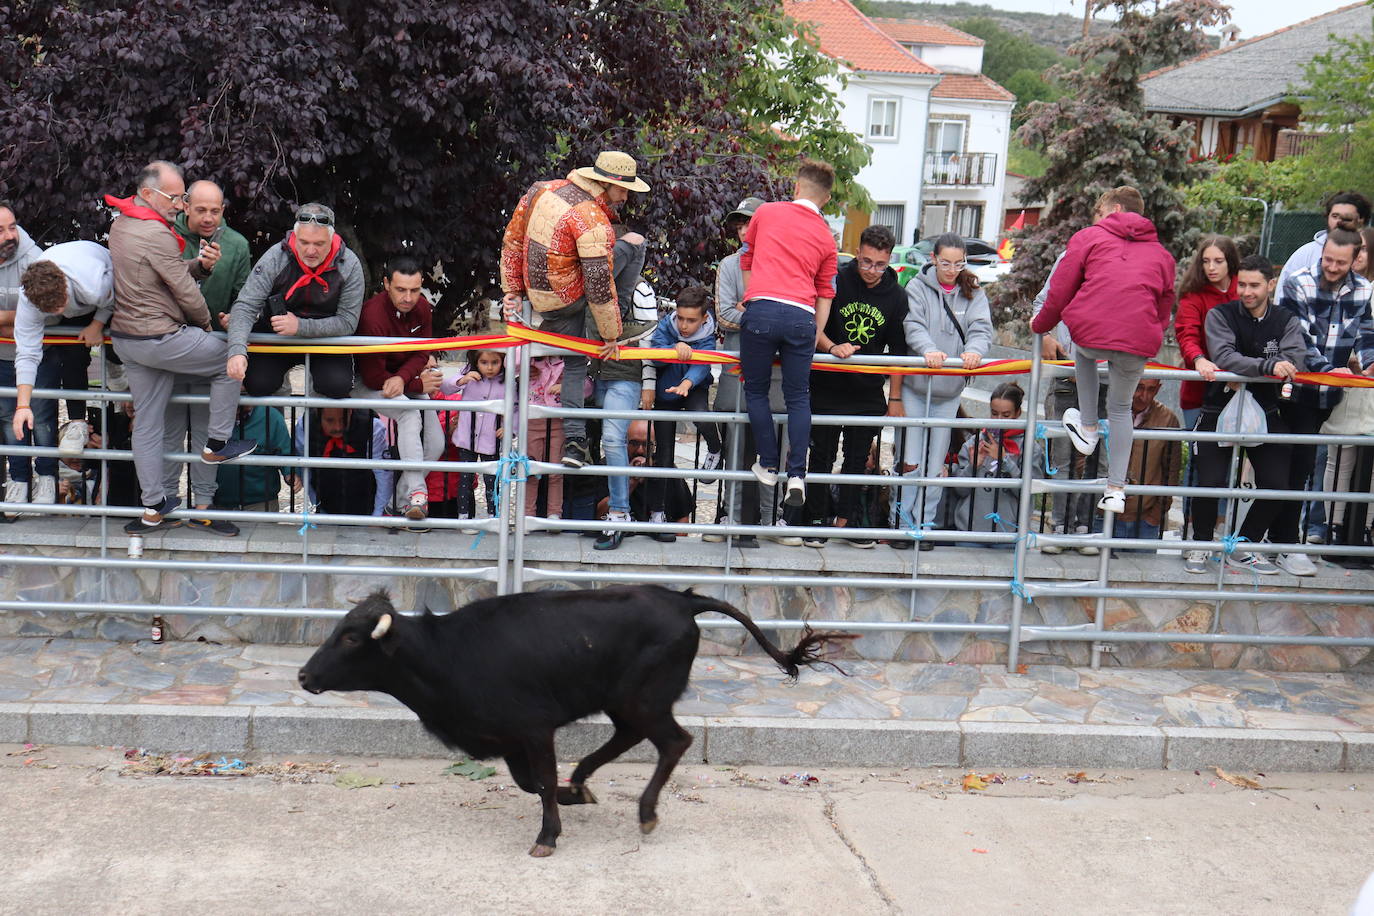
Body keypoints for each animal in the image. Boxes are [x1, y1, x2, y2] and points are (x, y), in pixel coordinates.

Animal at [298, 587, 846, 862]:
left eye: (351, 638)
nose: (304, 675)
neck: (446, 654)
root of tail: (678, 598)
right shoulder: (511, 738)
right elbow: (530, 783)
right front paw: (570, 797)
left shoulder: (534, 729)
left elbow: (539, 782)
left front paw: (548, 835)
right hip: (624, 702)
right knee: (628, 738)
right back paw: (582, 781)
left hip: (644, 699)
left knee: (673, 741)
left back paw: (645, 811)